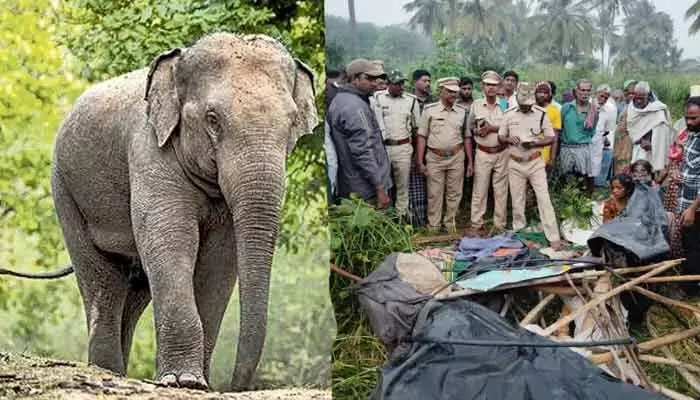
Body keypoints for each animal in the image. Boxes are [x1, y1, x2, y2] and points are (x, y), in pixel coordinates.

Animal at [0, 32, 318, 391]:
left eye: (292, 123)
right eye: (212, 119)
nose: (233, 386)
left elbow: (219, 259)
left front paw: (197, 383)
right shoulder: (148, 150)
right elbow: (171, 238)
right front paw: (183, 381)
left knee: (135, 290)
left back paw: (118, 371)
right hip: (65, 192)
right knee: (102, 281)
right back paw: (107, 371)